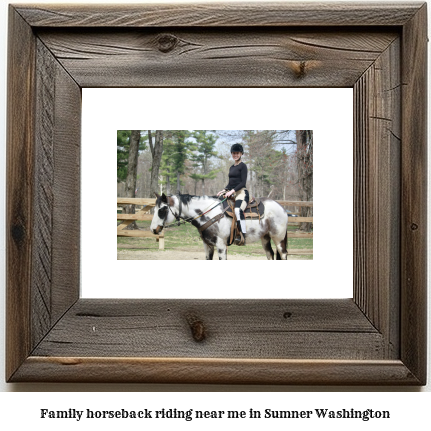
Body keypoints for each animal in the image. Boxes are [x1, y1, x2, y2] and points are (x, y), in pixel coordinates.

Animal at [150, 195, 288, 262]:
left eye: (162, 209)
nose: (153, 230)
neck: (210, 214)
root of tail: (282, 207)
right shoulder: (208, 245)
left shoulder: (221, 246)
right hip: (265, 238)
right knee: (270, 254)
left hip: (279, 239)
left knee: (283, 254)